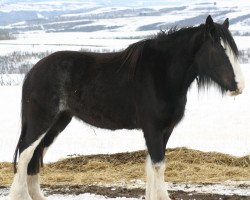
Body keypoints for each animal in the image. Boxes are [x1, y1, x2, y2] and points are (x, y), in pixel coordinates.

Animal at [9, 15, 244, 200]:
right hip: (41, 121)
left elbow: (152, 165)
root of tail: (33, 71)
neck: (162, 74)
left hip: (57, 123)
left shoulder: (164, 130)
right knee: (26, 155)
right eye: (219, 50)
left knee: (35, 156)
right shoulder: (152, 129)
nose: (239, 86)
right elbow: (158, 165)